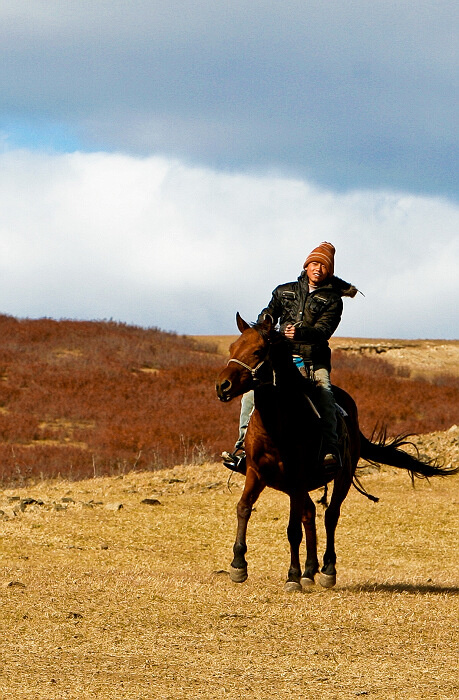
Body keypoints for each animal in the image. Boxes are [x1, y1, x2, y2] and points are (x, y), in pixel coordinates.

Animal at [217, 314, 459, 592]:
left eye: (257, 351)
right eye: (232, 348)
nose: (222, 386)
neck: (278, 422)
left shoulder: (297, 479)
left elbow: (292, 530)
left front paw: (292, 576)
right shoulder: (256, 472)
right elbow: (244, 508)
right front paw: (238, 565)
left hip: (341, 477)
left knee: (330, 516)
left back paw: (326, 570)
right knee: (310, 514)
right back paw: (309, 571)